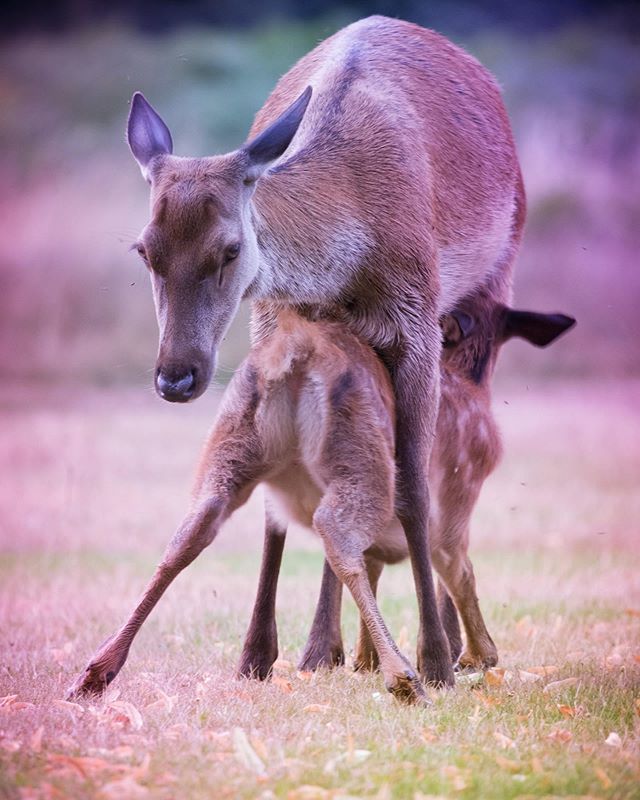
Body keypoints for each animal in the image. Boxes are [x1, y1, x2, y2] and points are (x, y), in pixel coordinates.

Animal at [107, 15, 529, 687]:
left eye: (230, 249)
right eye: (145, 249)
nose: (176, 377)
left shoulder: (418, 317)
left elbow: (412, 489)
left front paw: (434, 658)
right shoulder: (272, 320)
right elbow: (275, 504)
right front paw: (261, 653)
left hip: (494, 280)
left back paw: (458, 649)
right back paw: (330, 651)